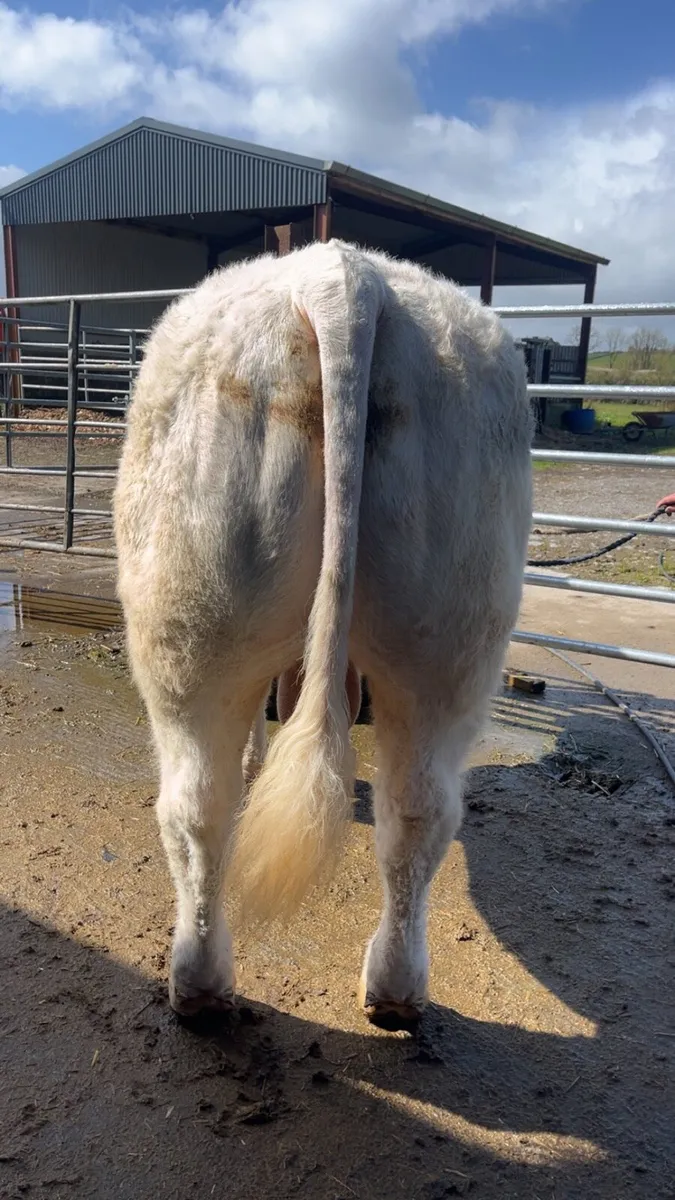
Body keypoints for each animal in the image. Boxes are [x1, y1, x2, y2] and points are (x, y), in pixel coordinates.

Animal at [113, 239, 532, 1031]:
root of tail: (341, 275)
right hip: (452, 631)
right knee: (419, 809)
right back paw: (395, 991)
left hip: (187, 623)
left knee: (198, 806)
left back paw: (199, 984)